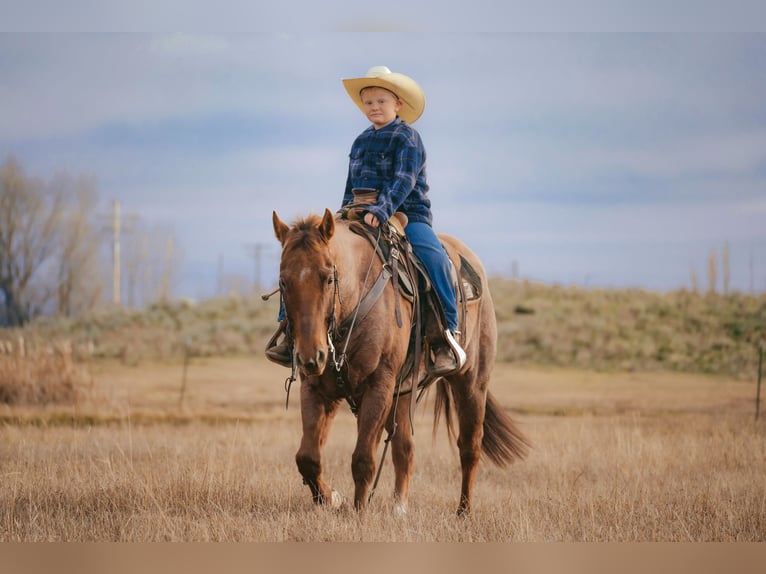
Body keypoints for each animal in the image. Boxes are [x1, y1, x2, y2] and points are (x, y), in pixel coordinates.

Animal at [272, 208, 529, 516]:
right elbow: (308, 458)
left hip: (472, 383)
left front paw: (358, 513)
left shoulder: (378, 388)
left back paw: (464, 512)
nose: (311, 356)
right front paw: (332, 498)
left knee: (469, 446)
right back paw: (400, 508)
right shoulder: (317, 389)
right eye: (283, 281)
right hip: (403, 393)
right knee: (404, 447)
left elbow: (363, 459)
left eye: (328, 278)